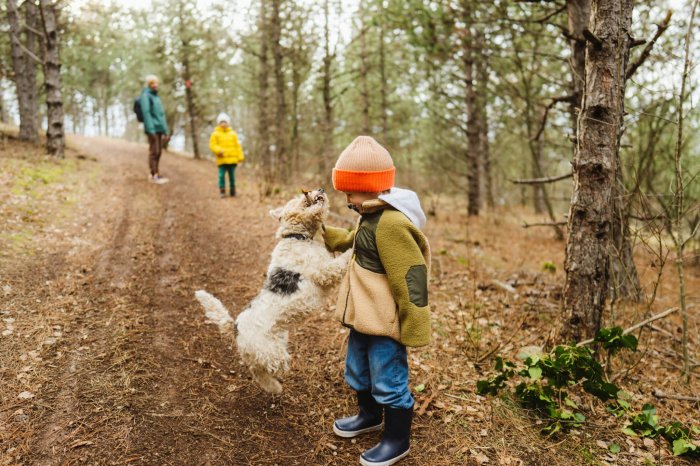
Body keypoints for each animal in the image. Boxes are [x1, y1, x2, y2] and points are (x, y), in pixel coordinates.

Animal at [194, 188, 350, 394]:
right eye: (297, 198)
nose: (321, 190)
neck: (297, 237)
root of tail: (235, 327)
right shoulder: (323, 272)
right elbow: (340, 262)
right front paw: (354, 246)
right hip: (272, 354)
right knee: (261, 369)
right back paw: (276, 386)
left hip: (275, 342)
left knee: (255, 368)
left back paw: (274, 387)